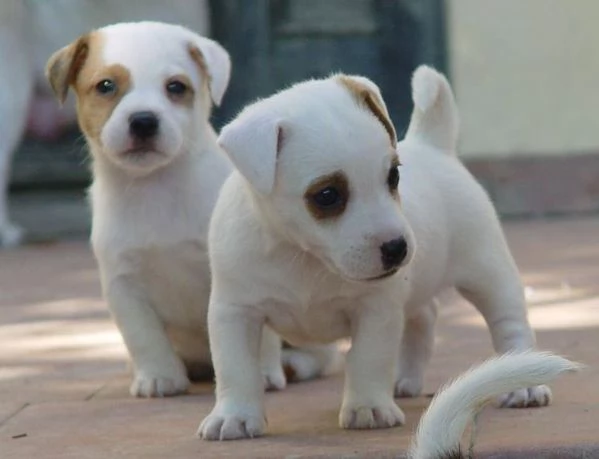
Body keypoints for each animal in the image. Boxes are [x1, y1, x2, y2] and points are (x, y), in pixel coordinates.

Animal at [199, 66, 552, 440]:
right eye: (327, 195)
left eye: (393, 176)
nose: (398, 248)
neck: (303, 255)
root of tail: (433, 145)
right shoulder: (235, 312)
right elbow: (235, 367)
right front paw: (234, 415)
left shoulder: (376, 310)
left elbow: (368, 358)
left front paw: (368, 406)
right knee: (425, 316)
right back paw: (405, 379)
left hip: (488, 273)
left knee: (509, 322)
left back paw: (524, 383)